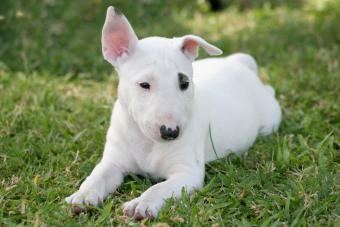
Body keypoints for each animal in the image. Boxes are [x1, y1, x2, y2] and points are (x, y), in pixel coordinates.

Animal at [65, 6, 282, 219]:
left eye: (184, 83)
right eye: (144, 85)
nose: (171, 132)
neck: (147, 141)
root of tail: (238, 63)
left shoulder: (187, 173)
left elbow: (159, 188)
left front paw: (142, 204)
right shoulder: (113, 162)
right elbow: (97, 176)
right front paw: (82, 196)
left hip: (269, 118)